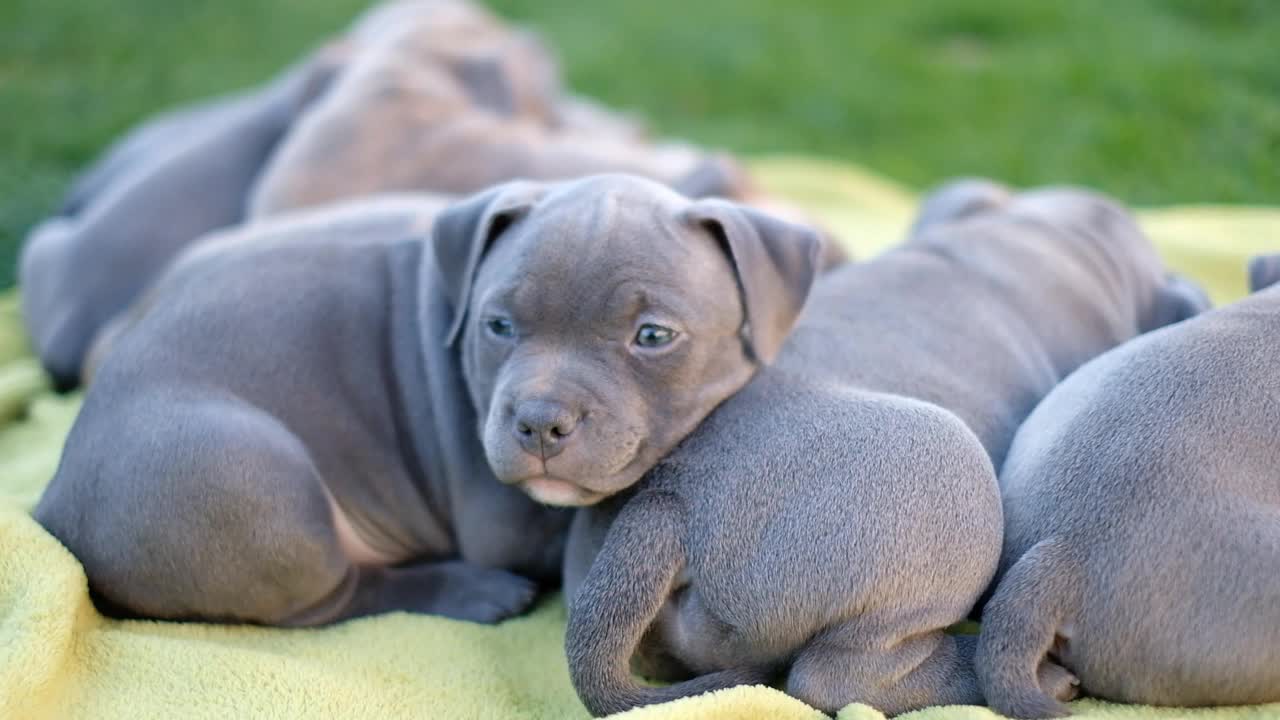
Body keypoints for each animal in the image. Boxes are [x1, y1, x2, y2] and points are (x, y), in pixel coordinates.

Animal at [32, 176, 819, 625]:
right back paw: (472, 594)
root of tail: (53, 505)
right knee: (338, 599)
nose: (539, 424)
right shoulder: (502, 519)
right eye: (498, 326)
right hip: (251, 480)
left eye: (653, 336)